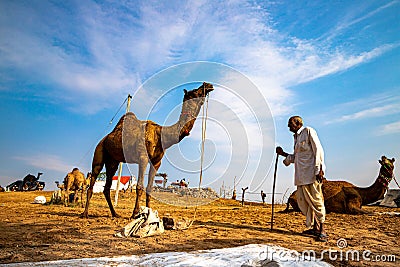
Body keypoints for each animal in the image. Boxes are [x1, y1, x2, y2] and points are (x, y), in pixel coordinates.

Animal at [82, 82, 216, 219]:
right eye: (195, 91)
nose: (208, 85)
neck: (162, 135)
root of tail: (104, 139)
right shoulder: (143, 158)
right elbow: (140, 186)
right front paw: (135, 213)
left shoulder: (156, 162)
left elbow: (150, 188)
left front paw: (149, 212)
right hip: (99, 150)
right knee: (93, 179)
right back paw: (85, 213)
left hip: (113, 161)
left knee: (107, 186)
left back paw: (115, 213)